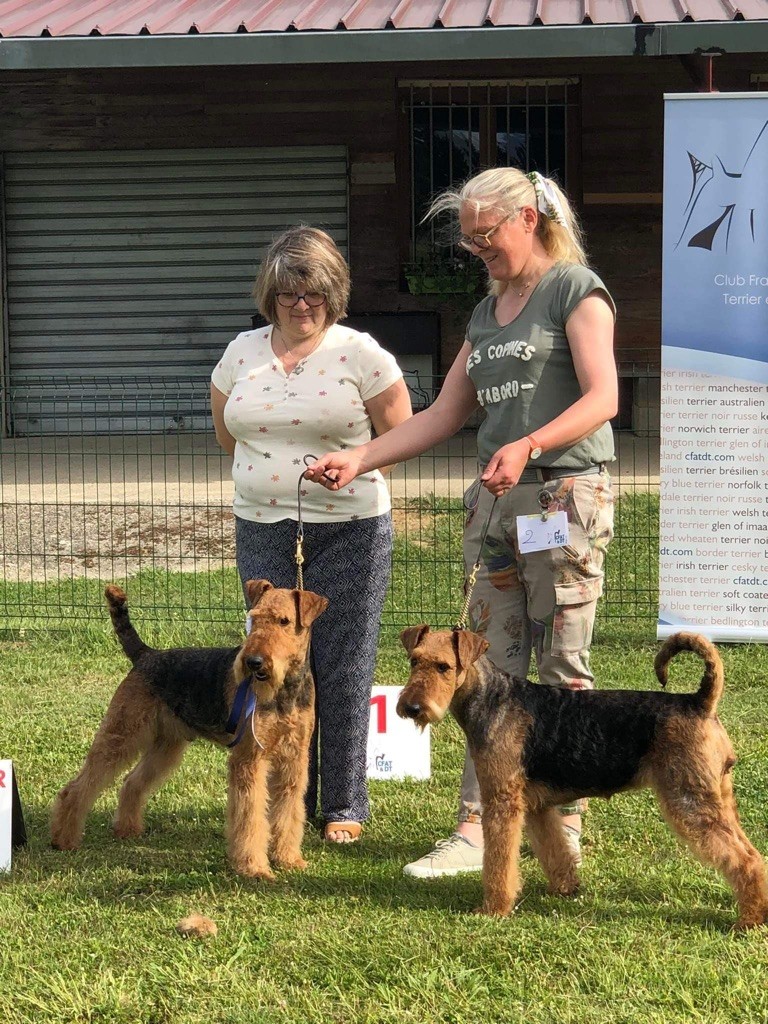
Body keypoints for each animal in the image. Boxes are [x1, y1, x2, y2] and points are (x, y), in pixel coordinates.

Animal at [51, 581, 327, 876]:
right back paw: (63, 839)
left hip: (166, 745)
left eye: (284, 621)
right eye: (254, 618)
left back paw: (128, 829)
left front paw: (288, 859)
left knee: (131, 782)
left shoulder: (294, 759)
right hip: (121, 733)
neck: (285, 691)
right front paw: (254, 867)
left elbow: (289, 812)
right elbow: (250, 817)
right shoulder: (249, 759)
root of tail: (146, 654)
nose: (253, 662)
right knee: (78, 788)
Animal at [397, 622, 768, 929]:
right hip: (719, 796)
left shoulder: (503, 801)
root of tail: (700, 702)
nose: (411, 708)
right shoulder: (536, 806)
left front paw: (494, 908)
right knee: (751, 852)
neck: (493, 699)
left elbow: (500, 861)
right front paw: (566, 887)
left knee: (745, 859)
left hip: (690, 799)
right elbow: (554, 848)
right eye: (414, 661)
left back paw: (749, 920)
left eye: (444, 667)